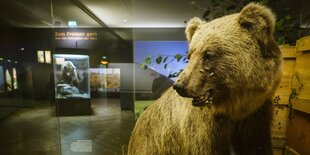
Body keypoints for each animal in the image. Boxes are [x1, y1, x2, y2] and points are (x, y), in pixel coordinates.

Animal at [127, 2, 282, 155]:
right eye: (190, 55)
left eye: (208, 54)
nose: (180, 86)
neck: (235, 108)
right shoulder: (203, 129)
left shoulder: (256, 119)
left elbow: (257, 146)